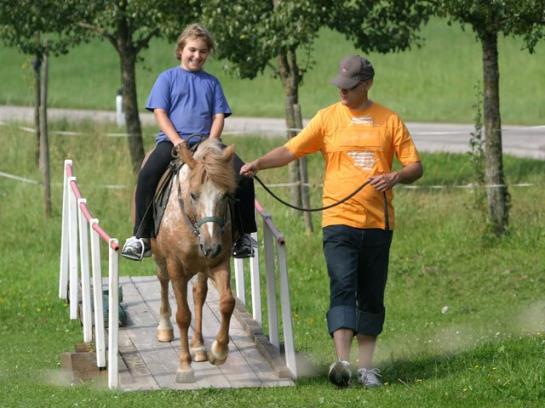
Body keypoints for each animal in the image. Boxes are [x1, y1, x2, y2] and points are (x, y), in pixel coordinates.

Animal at [151, 139, 236, 384]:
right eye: (193, 195)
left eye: (225, 195)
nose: (211, 246)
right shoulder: (176, 267)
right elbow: (183, 316)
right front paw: (184, 367)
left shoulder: (219, 262)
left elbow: (227, 302)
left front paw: (218, 352)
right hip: (160, 256)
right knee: (162, 280)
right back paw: (164, 328)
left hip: (202, 267)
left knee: (199, 293)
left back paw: (198, 347)